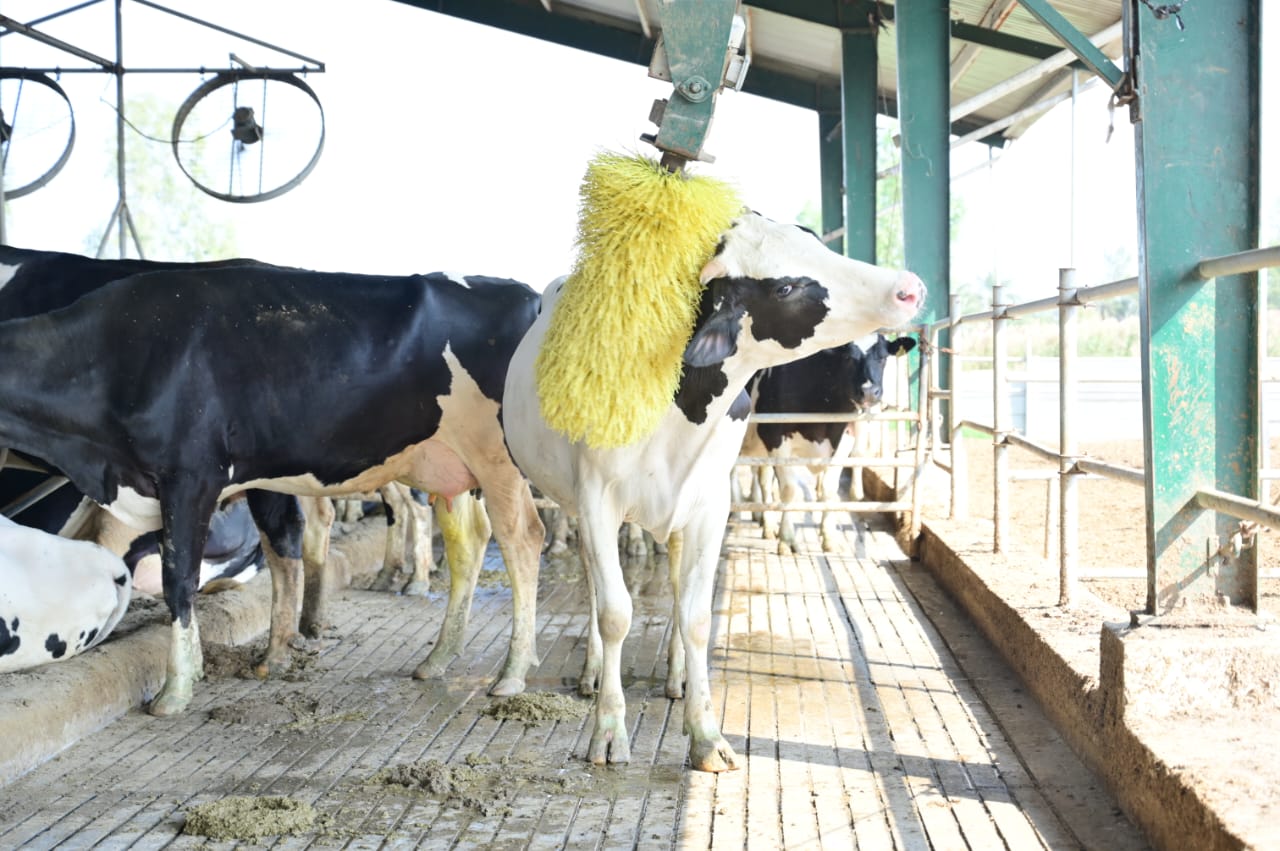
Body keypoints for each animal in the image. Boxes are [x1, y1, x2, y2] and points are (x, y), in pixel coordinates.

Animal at [741, 333, 916, 553]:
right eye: (848, 358)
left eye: (883, 358)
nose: (869, 392)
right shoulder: (773, 435)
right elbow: (789, 489)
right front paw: (787, 540)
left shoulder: (844, 435)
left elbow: (830, 488)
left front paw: (829, 537)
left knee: (763, 478)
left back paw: (768, 524)